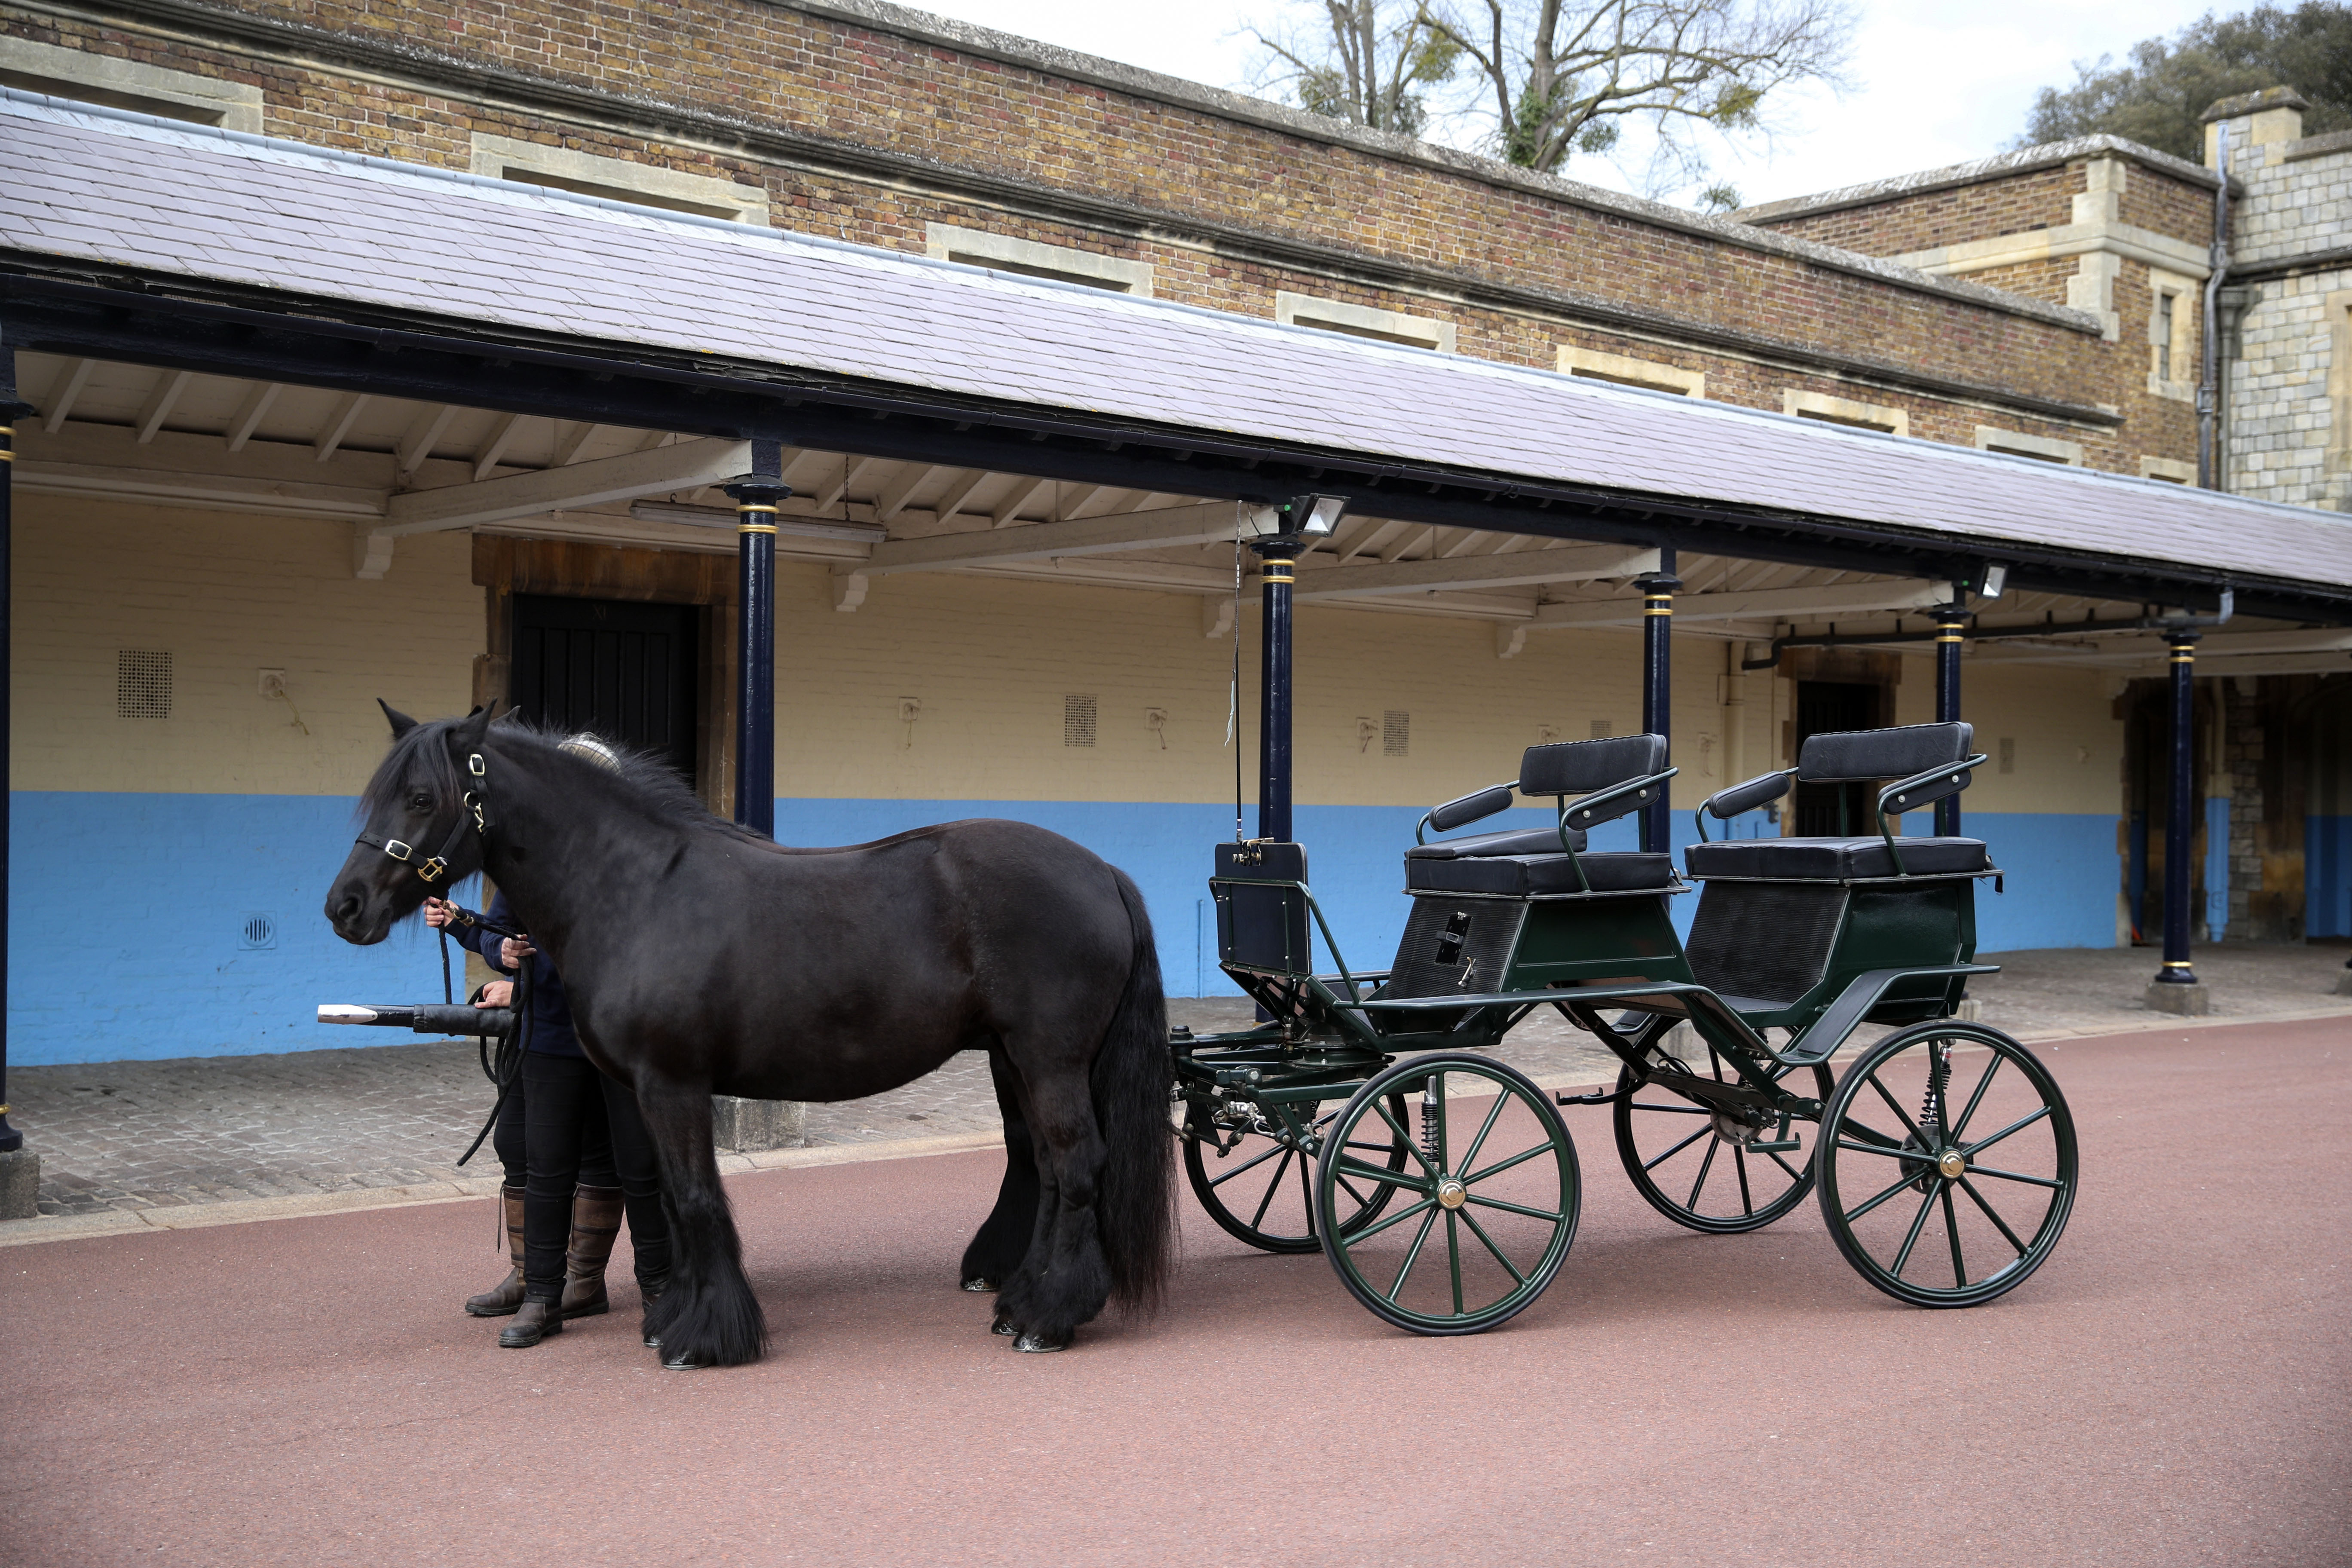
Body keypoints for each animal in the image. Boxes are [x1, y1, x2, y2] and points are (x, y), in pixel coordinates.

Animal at [327, 705, 1171, 1363]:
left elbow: (698, 1197)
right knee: (1045, 1169)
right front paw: (671, 1317)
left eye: (421, 796)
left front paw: (705, 1337)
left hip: (1049, 1058)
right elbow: (668, 1202)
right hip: (1013, 1059)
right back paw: (1019, 1300)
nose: (346, 906)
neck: (637, 888)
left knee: (1076, 1165)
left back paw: (1046, 1319)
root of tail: (1102, 872)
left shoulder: (673, 1084)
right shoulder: (639, 1090)